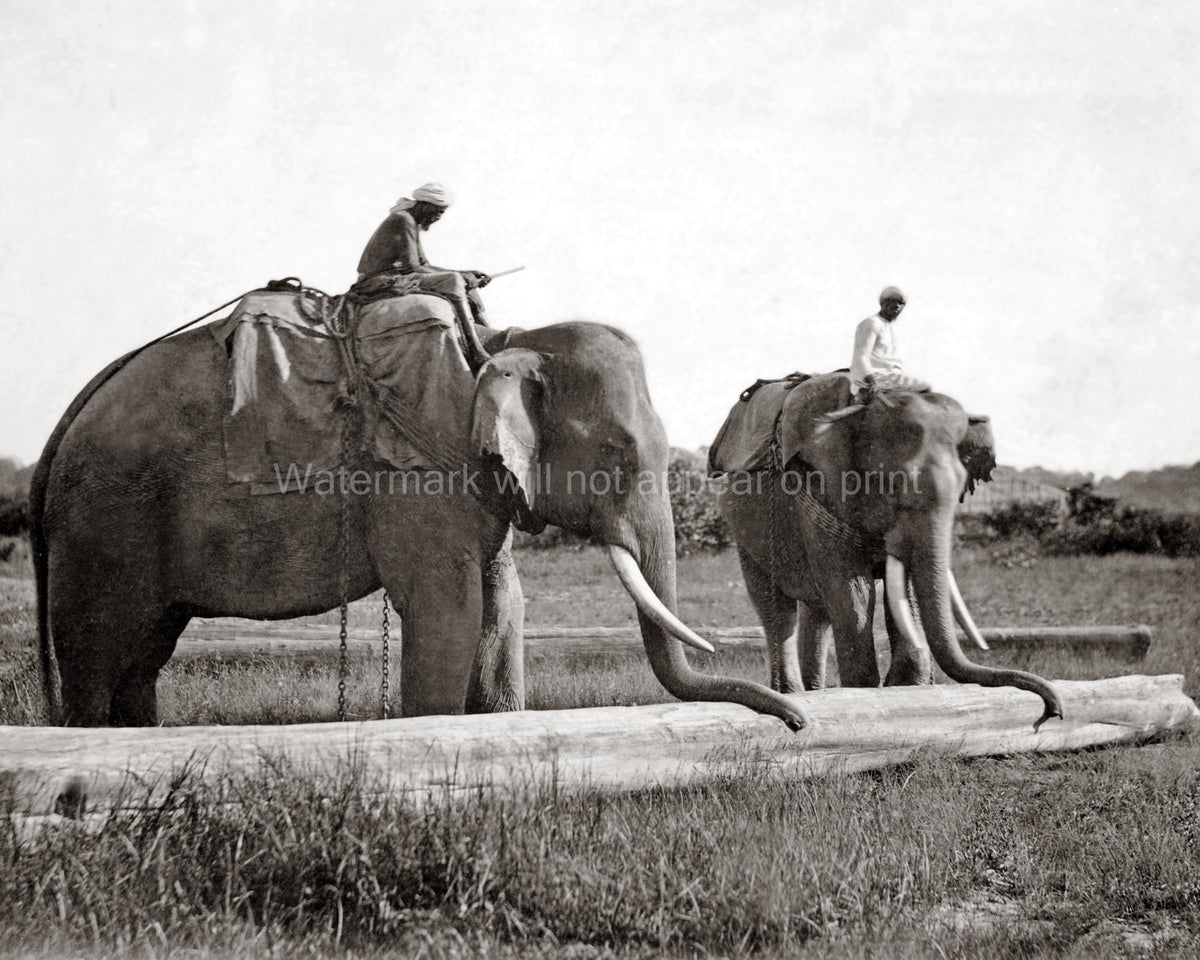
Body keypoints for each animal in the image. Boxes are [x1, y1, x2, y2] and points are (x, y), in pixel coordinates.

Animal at [32, 316, 809, 729]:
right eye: (618, 451)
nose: (796, 718)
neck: (506, 338)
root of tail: (71, 415)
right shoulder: (421, 470)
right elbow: (448, 609)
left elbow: (501, 607)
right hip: (104, 518)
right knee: (98, 652)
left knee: (144, 653)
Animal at [715, 372, 1061, 729]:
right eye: (893, 484)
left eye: (962, 485)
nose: (1052, 712)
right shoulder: (816, 495)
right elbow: (854, 593)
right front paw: (865, 691)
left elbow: (901, 592)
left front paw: (908, 686)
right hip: (742, 529)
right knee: (777, 609)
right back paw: (794, 694)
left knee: (817, 610)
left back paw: (814, 692)